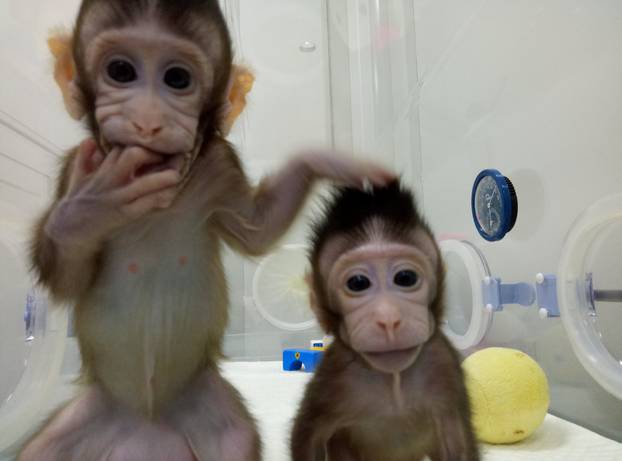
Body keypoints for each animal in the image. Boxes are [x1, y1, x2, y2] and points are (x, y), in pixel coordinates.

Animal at [19, 1, 394, 458]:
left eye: (177, 79)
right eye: (121, 71)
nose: (147, 121)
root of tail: (147, 424)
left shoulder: (220, 165)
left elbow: (257, 228)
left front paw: (326, 159)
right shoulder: (77, 163)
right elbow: (69, 278)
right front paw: (84, 211)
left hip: (199, 401)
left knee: (234, 436)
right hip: (97, 412)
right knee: (41, 449)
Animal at [294, 181, 482, 460]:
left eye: (405, 278)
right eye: (358, 283)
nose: (389, 318)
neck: (394, 380)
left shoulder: (442, 365)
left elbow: (457, 444)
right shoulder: (333, 377)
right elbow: (307, 438)